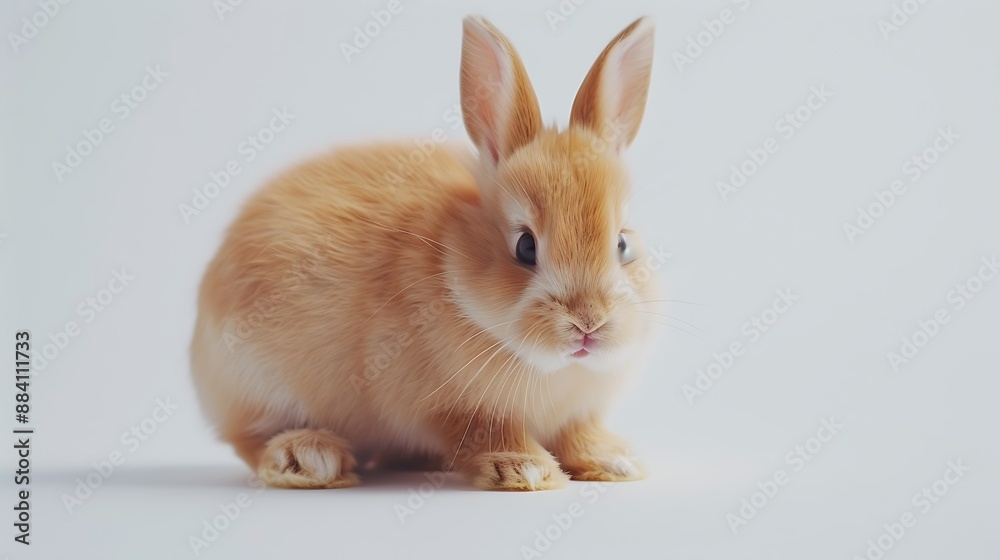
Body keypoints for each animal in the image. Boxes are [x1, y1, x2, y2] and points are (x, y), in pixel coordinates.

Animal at [190, 15, 660, 491]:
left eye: (622, 243)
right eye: (525, 247)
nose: (589, 322)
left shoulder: (578, 414)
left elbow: (578, 433)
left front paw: (615, 463)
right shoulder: (454, 409)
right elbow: (487, 431)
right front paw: (526, 470)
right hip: (256, 382)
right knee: (249, 438)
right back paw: (308, 458)